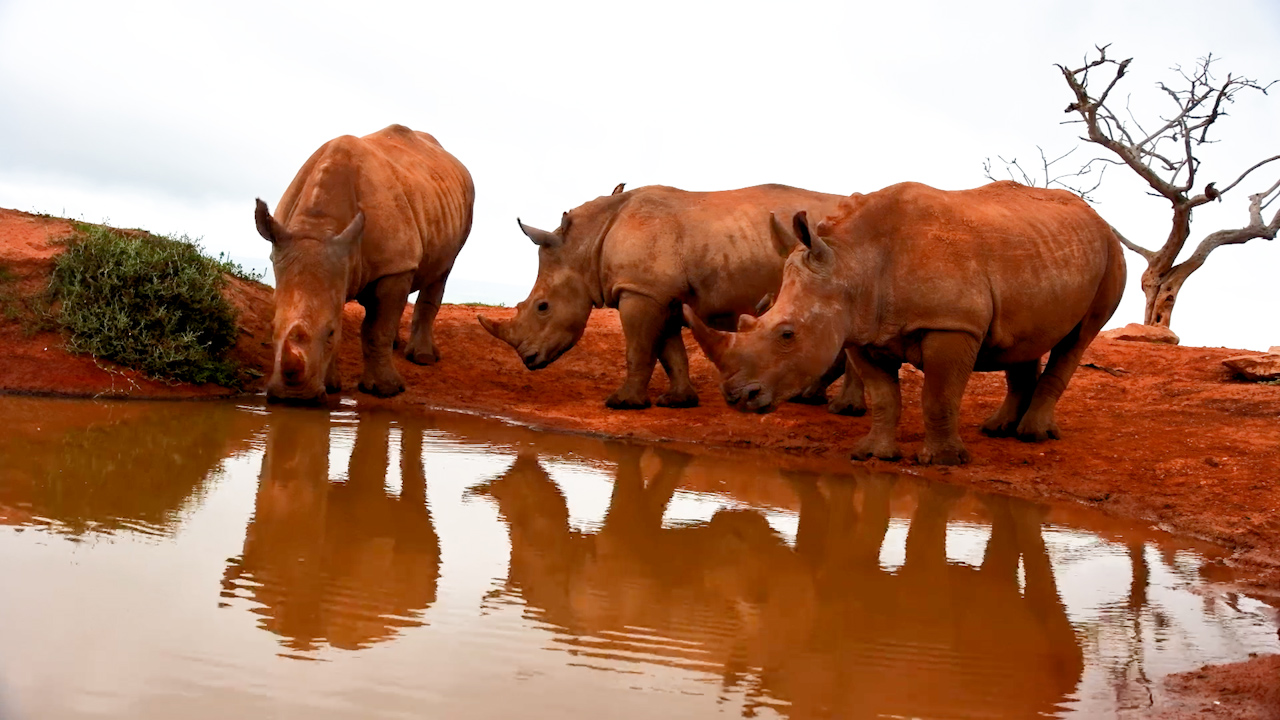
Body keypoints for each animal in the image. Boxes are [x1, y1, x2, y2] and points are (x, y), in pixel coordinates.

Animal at [255, 124, 474, 402]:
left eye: (330, 333)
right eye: (271, 330)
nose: (292, 397)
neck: (318, 227)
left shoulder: (393, 265)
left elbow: (377, 329)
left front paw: (386, 390)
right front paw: (331, 386)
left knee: (440, 272)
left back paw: (423, 359)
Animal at [478, 183, 864, 411]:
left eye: (542, 307)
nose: (528, 360)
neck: (586, 246)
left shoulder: (641, 291)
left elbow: (638, 349)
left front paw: (622, 404)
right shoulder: (659, 293)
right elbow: (669, 350)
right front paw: (677, 401)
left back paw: (841, 408)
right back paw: (808, 398)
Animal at [685, 181, 1126, 465]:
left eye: (787, 334)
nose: (736, 398)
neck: (852, 264)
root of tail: (1096, 216)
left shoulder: (951, 325)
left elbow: (938, 397)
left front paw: (943, 461)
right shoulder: (860, 330)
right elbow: (884, 398)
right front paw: (873, 454)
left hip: (1110, 251)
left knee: (1079, 338)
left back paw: (1031, 435)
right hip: (1039, 248)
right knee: (1023, 341)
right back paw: (998, 430)